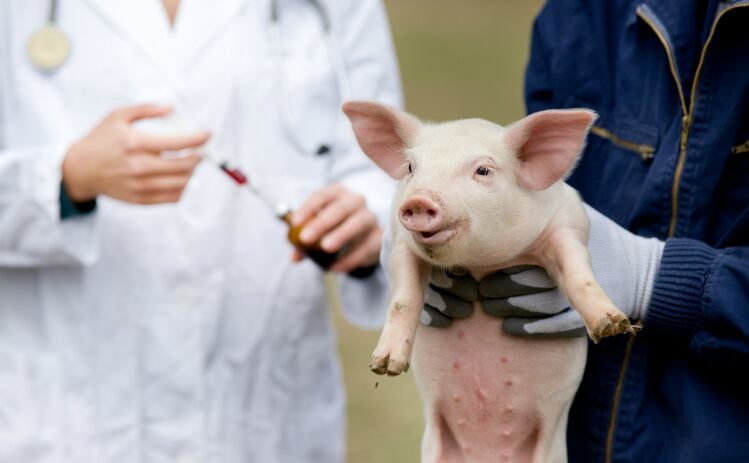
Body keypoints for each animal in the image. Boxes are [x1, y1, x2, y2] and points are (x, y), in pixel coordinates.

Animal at [342, 101, 639, 463]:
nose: (419, 200)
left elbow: (579, 276)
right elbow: (404, 298)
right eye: (412, 167)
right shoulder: (401, 244)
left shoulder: (569, 225)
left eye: (483, 170)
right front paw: (384, 365)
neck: (481, 265)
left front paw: (611, 325)